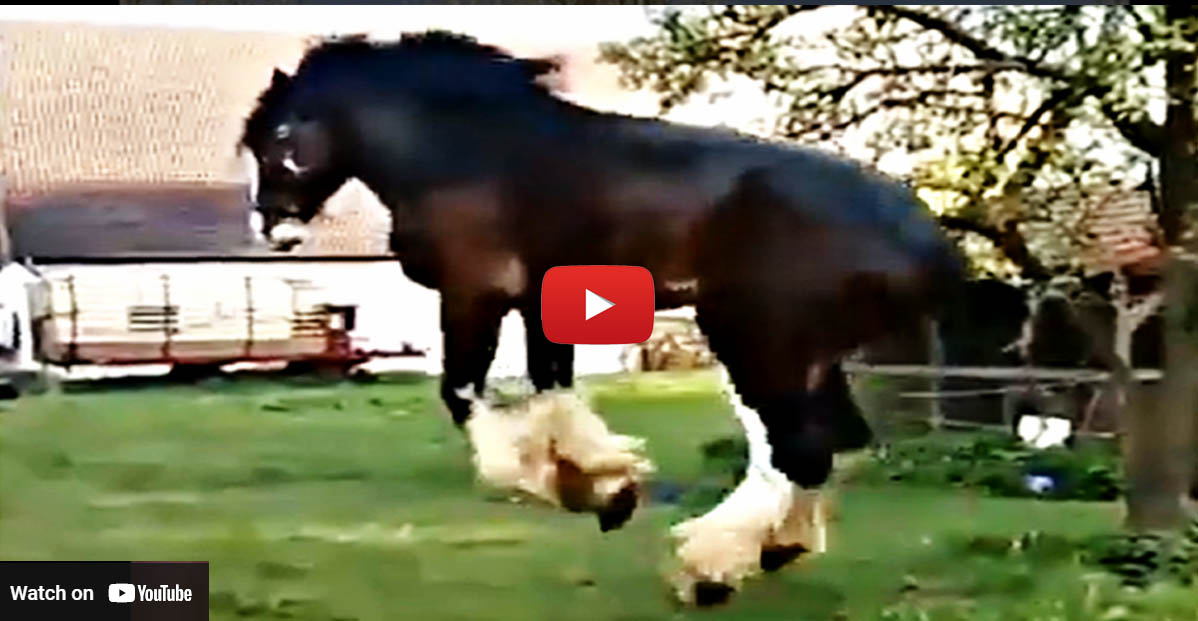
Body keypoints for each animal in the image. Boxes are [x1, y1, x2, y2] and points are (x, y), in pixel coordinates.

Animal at [240, 30, 963, 609]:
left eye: (280, 137)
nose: (271, 226)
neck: (468, 152)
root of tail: (925, 235)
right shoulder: (541, 304)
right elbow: (553, 391)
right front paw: (604, 484)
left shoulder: (474, 295)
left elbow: (465, 395)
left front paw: (584, 489)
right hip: (801, 354)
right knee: (825, 445)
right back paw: (769, 550)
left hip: (755, 338)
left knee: (798, 451)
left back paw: (707, 569)